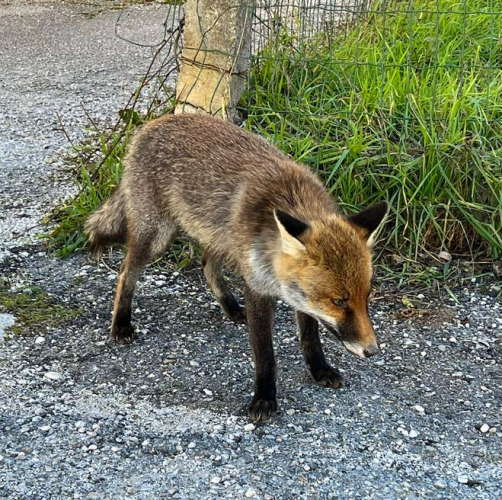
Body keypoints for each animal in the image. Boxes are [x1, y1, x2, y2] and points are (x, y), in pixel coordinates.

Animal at [85, 111, 388, 420]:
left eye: (367, 296)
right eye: (339, 301)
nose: (373, 351)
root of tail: (155, 121)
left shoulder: (298, 296)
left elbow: (310, 338)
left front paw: (320, 370)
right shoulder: (257, 288)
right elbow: (265, 354)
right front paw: (264, 398)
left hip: (218, 236)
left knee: (207, 266)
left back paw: (230, 308)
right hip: (157, 236)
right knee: (125, 274)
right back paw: (121, 324)